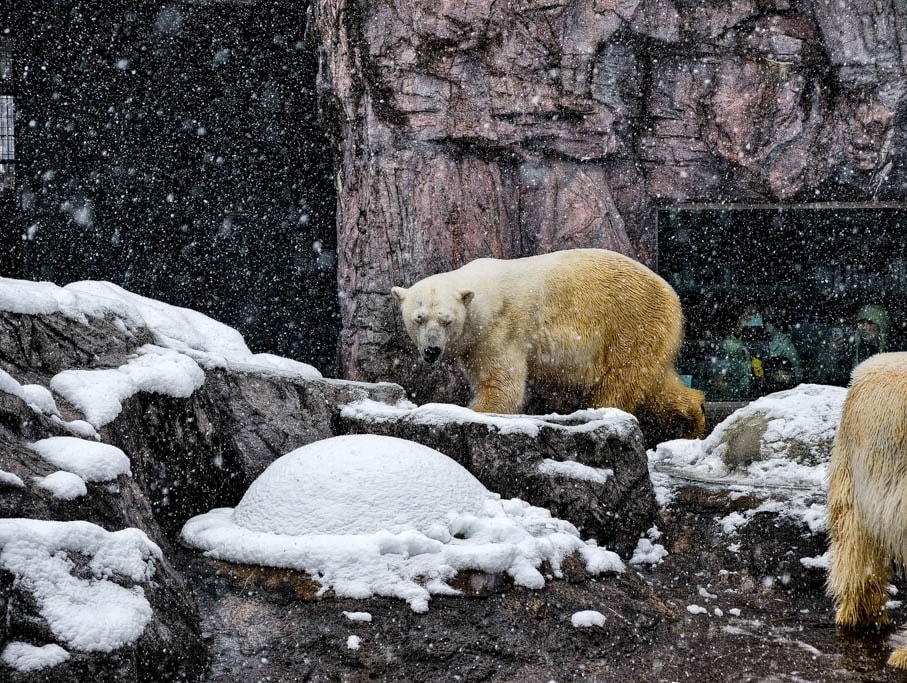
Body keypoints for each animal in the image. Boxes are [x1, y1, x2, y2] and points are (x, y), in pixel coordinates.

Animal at [391, 248, 705, 439]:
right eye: (419, 318)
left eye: (447, 320)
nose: (432, 350)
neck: (483, 301)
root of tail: (672, 295)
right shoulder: (475, 344)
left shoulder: (500, 331)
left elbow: (501, 384)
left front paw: (473, 413)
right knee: (656, 383)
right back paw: (692, 419)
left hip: (630, 324)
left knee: (620, 379)